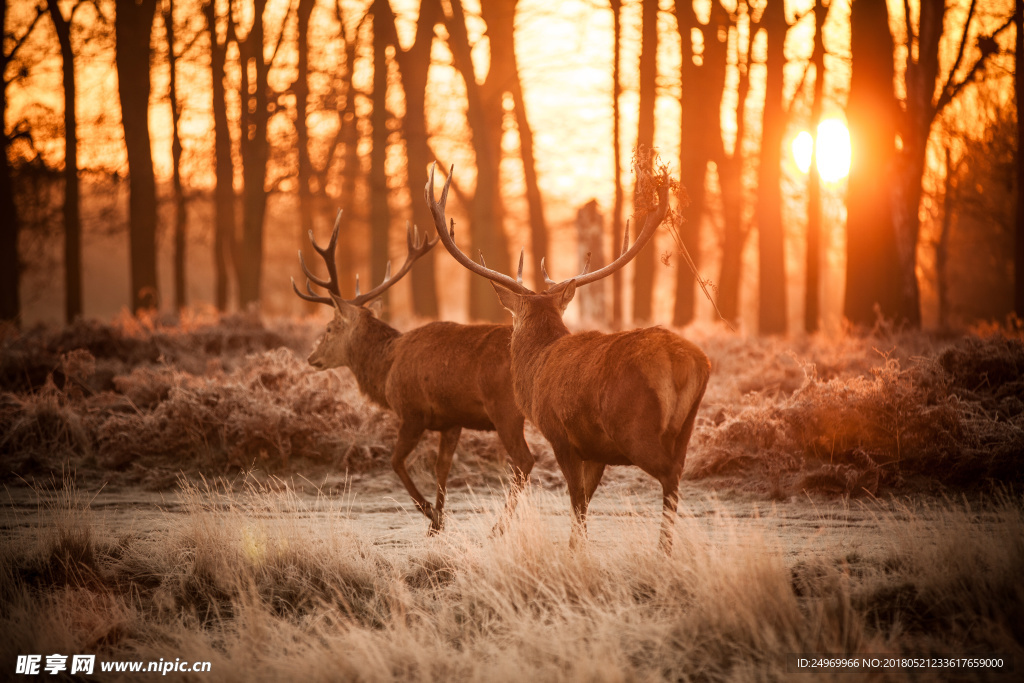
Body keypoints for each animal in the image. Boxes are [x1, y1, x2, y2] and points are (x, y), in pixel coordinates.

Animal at [292, 208, 536, 532]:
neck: (386, 369)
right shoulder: (451, 420)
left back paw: (500, 526)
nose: (311, 357)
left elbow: (396, 462)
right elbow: (442, 467)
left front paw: (429, 512)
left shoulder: (412, 412)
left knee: (524, 460)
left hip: (505, 410)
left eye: (330, 328)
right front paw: (438, 522)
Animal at [421, 161, 704, 548]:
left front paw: (575, 551)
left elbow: (576, 499)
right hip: (686, 427)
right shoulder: (595, 449)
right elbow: (585, 499)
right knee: (678, 472)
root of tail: (684, 361)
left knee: (669, 476)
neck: (536, 366)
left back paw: (663, 550)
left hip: (635, 427)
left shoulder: (560, 434)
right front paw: (575, 547)